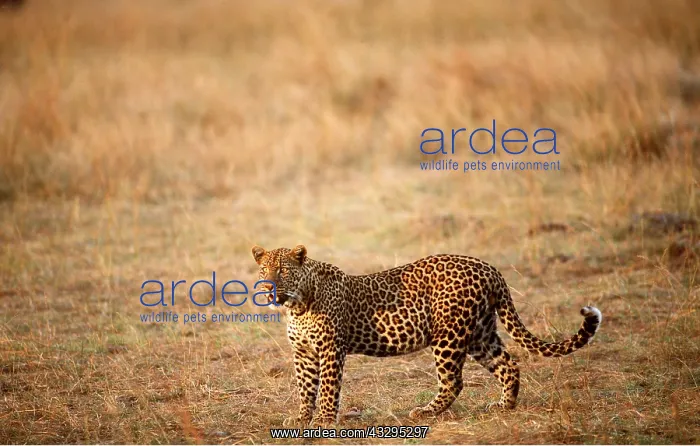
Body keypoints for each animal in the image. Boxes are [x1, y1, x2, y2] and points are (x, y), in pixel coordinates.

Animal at [251, 244, 602, 426]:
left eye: (283, 271)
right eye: (264, 270)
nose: (269, 288)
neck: (297, 305)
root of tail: (489, 268)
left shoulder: (330, 350)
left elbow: (326, 388)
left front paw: (323, 420)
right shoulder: (303, 353)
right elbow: (305, 388)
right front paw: (301, 418)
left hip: (449, 335)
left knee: (454, 381)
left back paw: (426, 411)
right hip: (480, 333)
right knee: (508, 364)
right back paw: (505, 405)